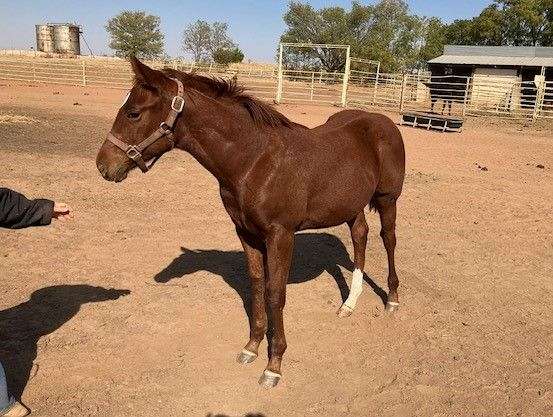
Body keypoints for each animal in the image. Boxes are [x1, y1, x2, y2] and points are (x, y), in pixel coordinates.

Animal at [95, 57, 406, 388]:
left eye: (133, 112)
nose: (104, 165)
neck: (254, 161)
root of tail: (382, 121)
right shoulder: (246, 232)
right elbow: (257, 286)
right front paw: (252, 348)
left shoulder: (281, 235)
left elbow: (275, 293)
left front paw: (274, 365)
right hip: (351, 205)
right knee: (360, 236)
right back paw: (348, 304)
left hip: (387, 199)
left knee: (388, 239)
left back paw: (392, 299)